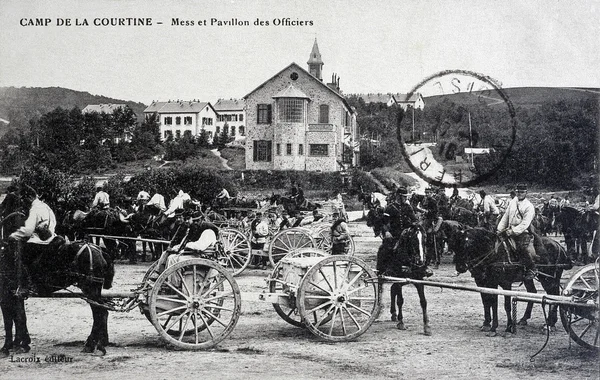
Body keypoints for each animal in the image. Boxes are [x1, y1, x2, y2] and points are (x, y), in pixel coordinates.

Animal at [0, 211, 113, 356]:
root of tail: (99, 250)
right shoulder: (15, 294)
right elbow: (19, 317)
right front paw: (21, 343)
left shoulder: (6, 294)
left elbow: (9, 320)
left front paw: (7, 346)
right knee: (102, 312)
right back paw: (97, 343)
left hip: (90, 289)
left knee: (99, 314)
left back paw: (91, 344)